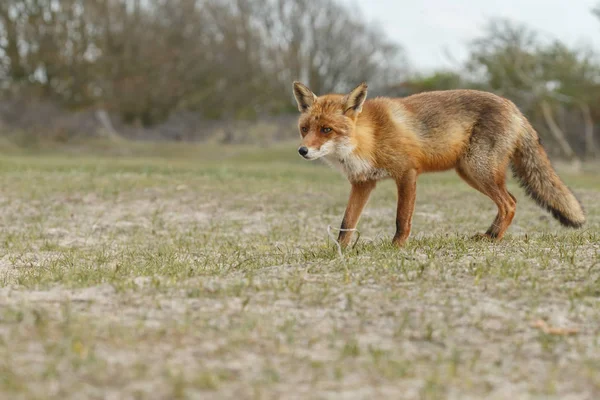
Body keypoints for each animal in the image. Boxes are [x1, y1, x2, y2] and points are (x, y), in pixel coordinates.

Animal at [292, 81, 584, 247]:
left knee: (510, 203)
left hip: (478, 170)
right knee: (509, 202)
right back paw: (489, 235)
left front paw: (396, 247)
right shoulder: (363, 183)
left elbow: (402, 218)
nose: (302, 151)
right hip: (469, 172)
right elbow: (347, 222)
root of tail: (514, 107)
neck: (369, 137)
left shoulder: (407, 173)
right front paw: (339, 250)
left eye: (327, 130)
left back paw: (493, 239)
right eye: (305, 129)